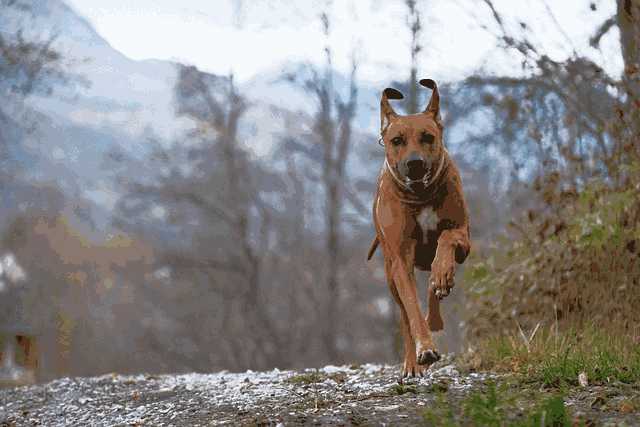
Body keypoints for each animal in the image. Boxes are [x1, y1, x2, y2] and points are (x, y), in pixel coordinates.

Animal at [364, 79, 470, 378]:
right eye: (397, 141)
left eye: (427, 137)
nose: (415, 164)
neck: (421, 195)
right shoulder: (400, 260)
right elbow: (411, 307)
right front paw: (425, 350)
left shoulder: (464, 238)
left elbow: (447, 238)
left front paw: (442, 273)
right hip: (389, 273)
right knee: (404, 314)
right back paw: (412, 361)